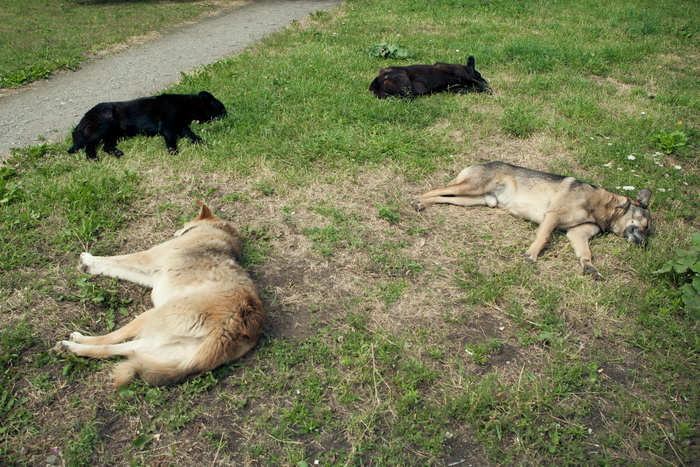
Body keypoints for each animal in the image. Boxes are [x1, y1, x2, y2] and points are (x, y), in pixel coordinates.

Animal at [55, 202, 264, 387]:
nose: (176, 231)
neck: (219, 233)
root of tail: (231, 330)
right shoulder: (149, 275)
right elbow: (115, 268)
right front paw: (90, 266)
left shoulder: (146, 259)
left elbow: (117, 259)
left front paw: (89, 259)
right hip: (161, 344)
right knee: (113, 350)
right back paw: (72, 347)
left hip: (150, 317)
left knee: (110, 339)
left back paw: (77, 341)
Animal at [68, 91, 227, 159]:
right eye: (220, 108)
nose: (226, 115)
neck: (188, 105)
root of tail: (82, 120)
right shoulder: (168, 125)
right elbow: (171, 139)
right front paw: (173, 151)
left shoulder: (181, 126)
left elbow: (193, 135)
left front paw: (202, 143)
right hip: (106, 122)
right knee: (89, 145)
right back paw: (93, 158)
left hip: (114, 134)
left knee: (106, 147)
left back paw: (117, 153)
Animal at [413, 161, 653, 279]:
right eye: (646, 225)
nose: (645, 244)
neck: (603, 206)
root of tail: (483, 163)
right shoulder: (553, 215)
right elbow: (544, 237)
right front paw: (532, 254)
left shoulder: (578, 233)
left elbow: (586, 253)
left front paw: (590, 267)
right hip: (471, 188)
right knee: (436, 189)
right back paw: (417, 198)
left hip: (472, 200)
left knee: (444, 197)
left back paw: (423, 204)